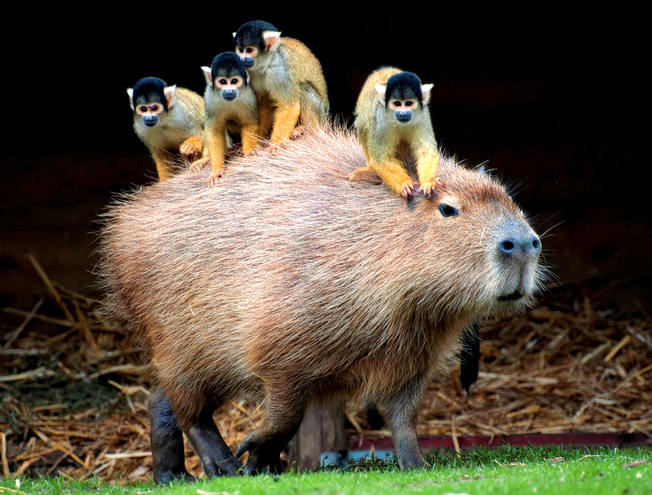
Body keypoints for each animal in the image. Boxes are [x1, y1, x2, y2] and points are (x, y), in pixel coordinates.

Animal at [191, 52, 260, 186]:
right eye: (223, 81)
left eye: (234, 81)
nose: (229, 91)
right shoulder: (210, 98)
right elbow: (214, 131)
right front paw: (217, 170)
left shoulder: (249, 97)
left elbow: (249, 124)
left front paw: (250, 151)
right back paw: (207, 158)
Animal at [348, 68, 440, 200]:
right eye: (397, 103)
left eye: (408, 103)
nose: (403, 113)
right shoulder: (381, 120)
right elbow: (381, 159)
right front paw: (404, 183)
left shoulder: (423, 117)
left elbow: (426, 152)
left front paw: (429, 182)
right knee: (364, 126)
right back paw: (370, 168)